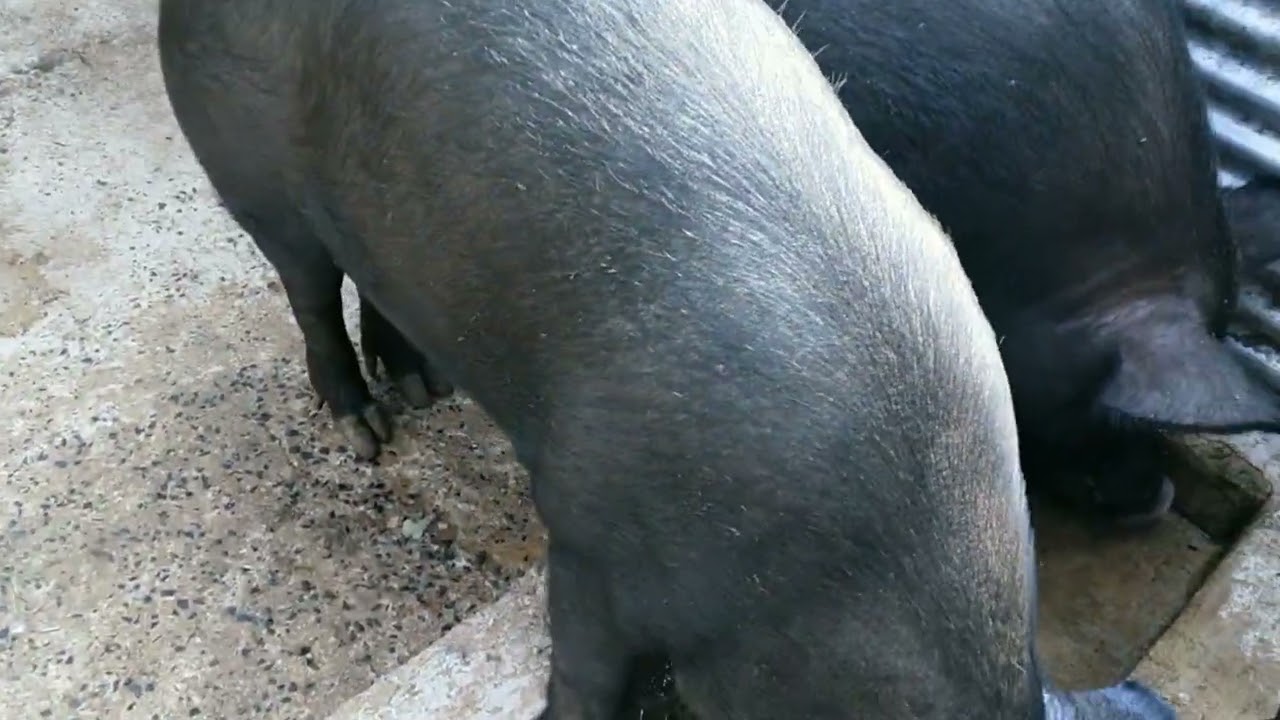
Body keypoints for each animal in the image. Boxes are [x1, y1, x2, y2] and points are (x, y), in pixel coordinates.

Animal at [158, 0, 1177, 717]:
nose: (1163, 494)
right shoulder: (591, 529)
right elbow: (588, 666)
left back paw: (423, 387)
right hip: (246, 168)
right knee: (306, 285)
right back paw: (366, 430)